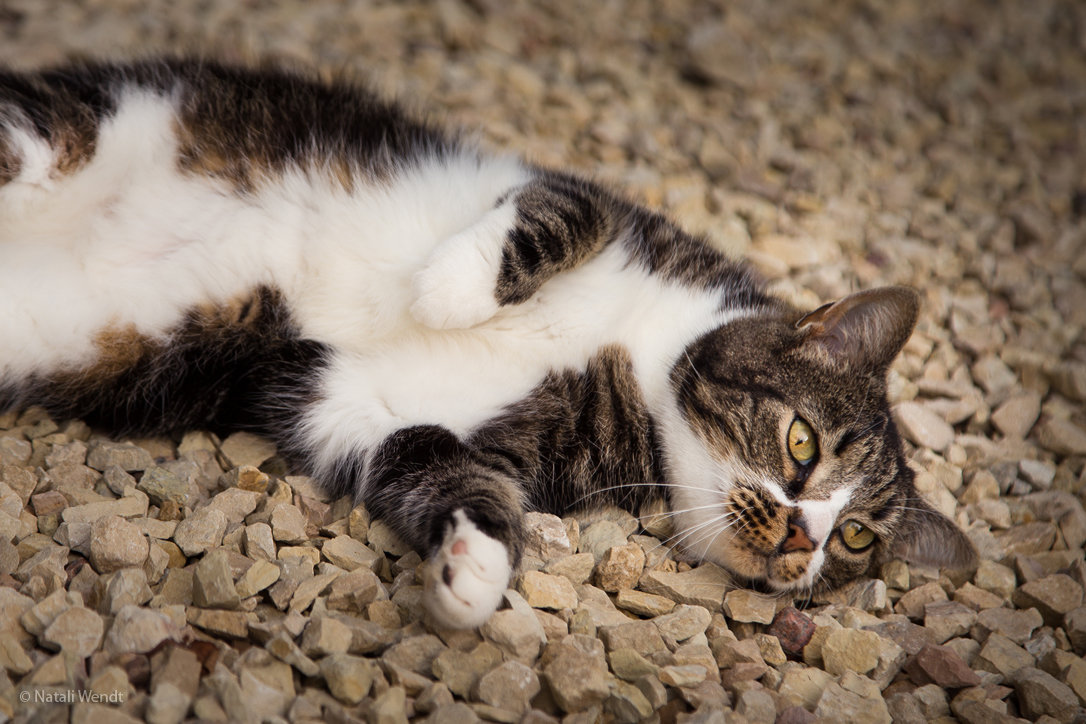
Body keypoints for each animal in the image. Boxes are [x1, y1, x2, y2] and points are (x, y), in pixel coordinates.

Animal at [0, 58, 981, 629]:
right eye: (804, 444)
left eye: (853, 541)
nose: (798, 544)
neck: (641, 359)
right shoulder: (591, 201)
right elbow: (558, 215)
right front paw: (446, 291)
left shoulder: (358, 404)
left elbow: (440, 465)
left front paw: (475, 571)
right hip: (62, 124)